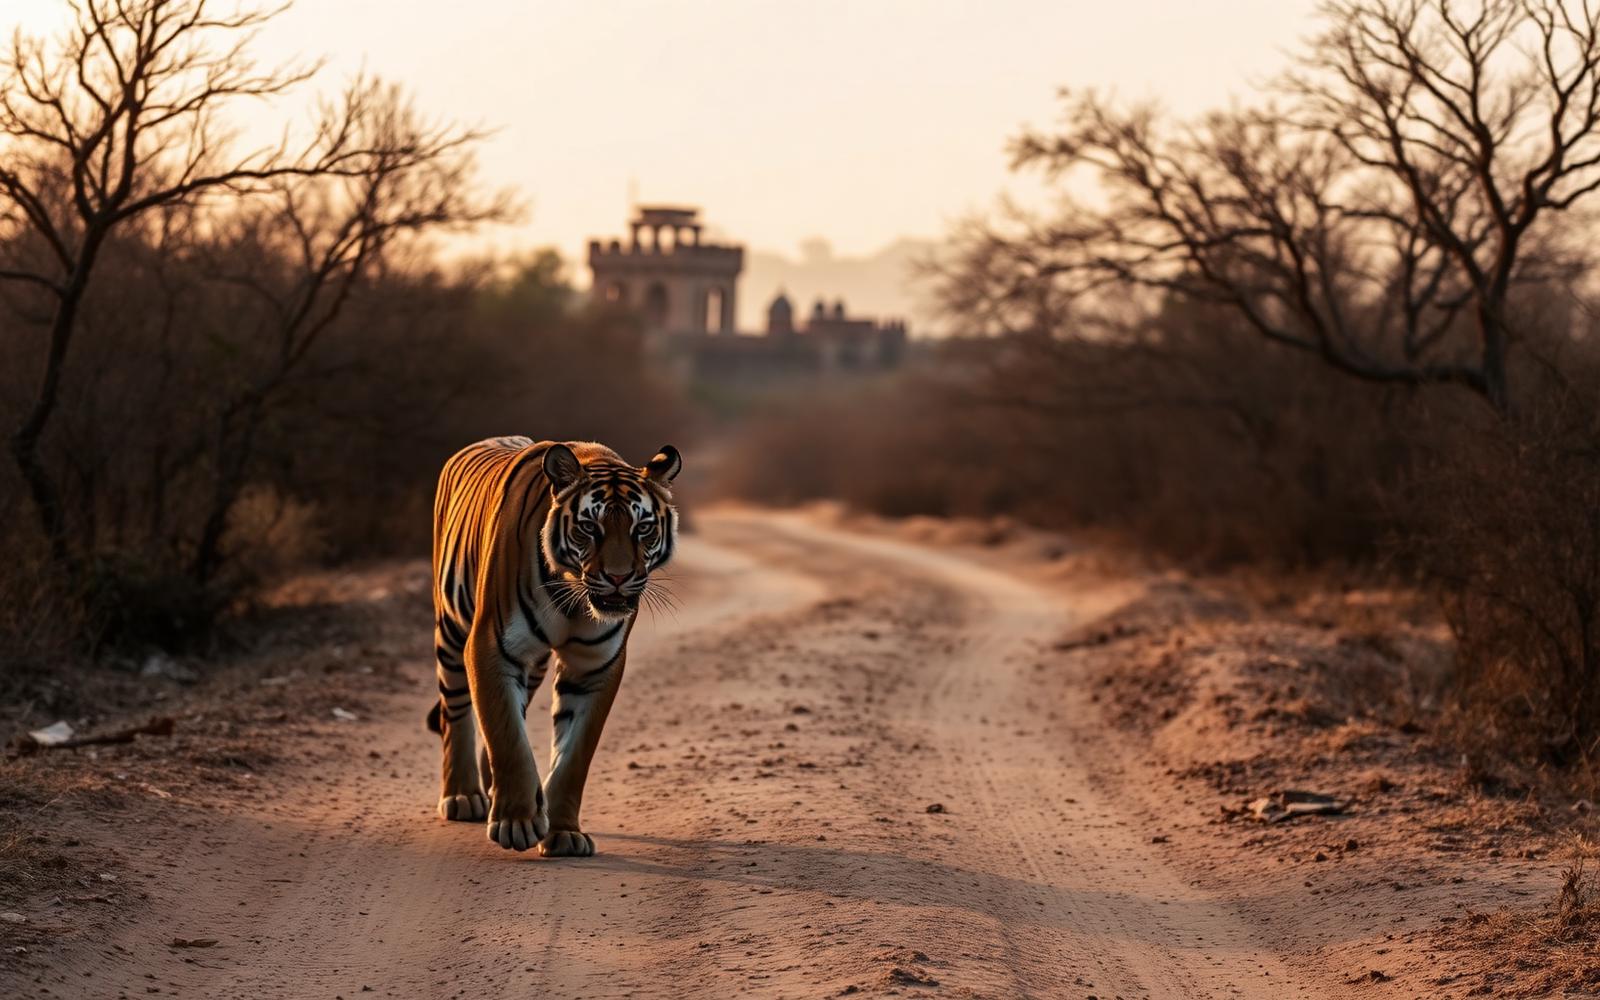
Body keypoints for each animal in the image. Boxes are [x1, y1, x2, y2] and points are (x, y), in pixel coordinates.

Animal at [425, 436, 682, 855]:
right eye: (589, 527)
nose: (618, 577)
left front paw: (563, 833)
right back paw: (462, 794)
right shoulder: (490, 647)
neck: (575, 598)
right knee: (457, 712)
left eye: (642, 528)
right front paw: (516, 822)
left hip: (534, 666)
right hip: (450, 630)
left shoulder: (594, 667)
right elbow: (507, 736)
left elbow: (573, 757)